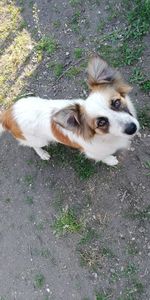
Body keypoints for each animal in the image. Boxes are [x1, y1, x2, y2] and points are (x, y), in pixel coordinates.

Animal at [0, 54, 139, 165]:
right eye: (101, 123)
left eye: (116, 102)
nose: (132, 128)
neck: (107, 136)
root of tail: (7, 113)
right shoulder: (93, 152)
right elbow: (103, 157)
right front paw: (110, 160)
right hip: (38, 140)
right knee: (34, 146)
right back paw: (42, 154)